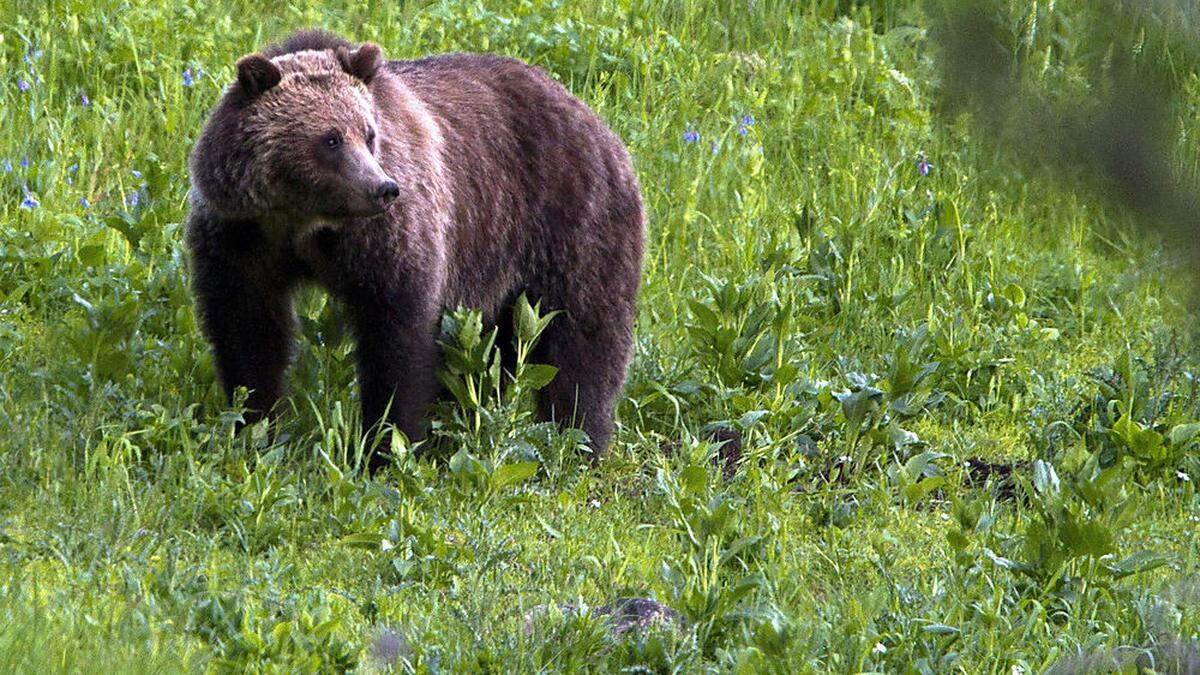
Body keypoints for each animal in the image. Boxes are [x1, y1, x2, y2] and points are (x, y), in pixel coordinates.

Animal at [187, 31, 643, 461]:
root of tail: (594, 118)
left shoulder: (387, 240)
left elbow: (397, 336)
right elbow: (248, 330)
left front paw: (387, 444)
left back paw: (578, 440)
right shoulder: (241, 237)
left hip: (569, 222)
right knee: (494, 350)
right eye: (331, 139)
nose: (383, 188)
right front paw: (254, 424)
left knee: (583, 337)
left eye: (369, 133)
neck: (305, 223)